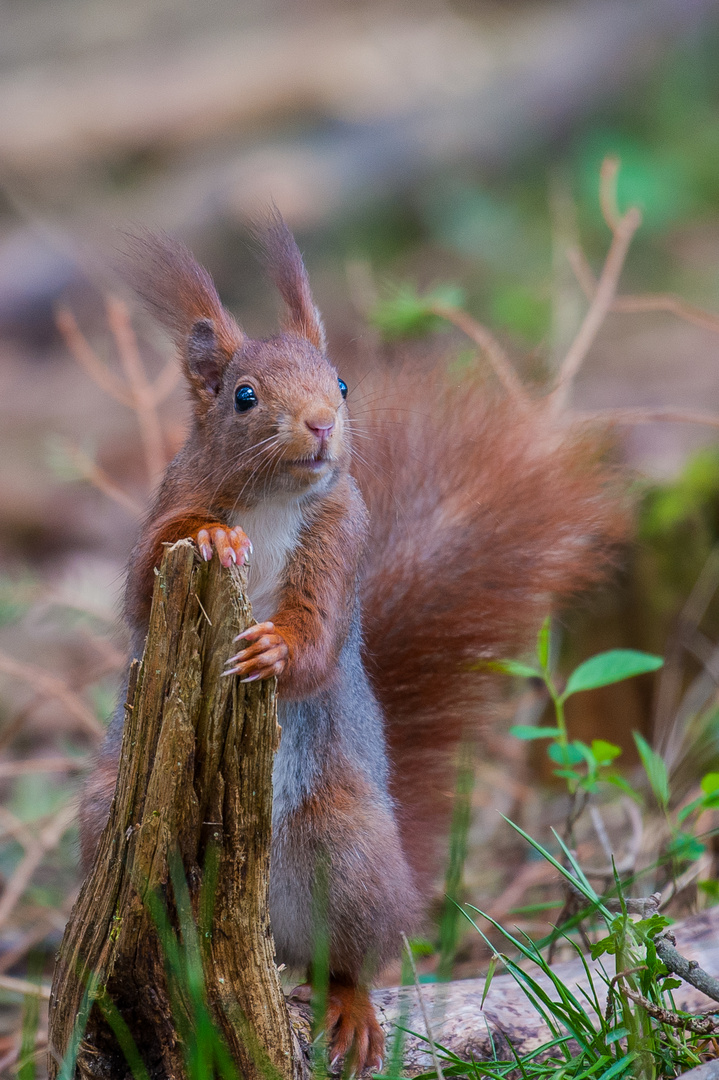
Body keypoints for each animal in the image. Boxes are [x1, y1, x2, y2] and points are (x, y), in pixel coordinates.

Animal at [78, 214, 626, 1075]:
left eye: (340, 385)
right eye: (244, 396)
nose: (322, 426)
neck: (272, 498)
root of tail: (259, 919)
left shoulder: (340, 539)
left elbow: (320, 633)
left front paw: (272, 654)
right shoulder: (165, 515)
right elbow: (145, 582)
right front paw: (212, 539)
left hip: (350, 853)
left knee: (351, 957)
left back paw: (349, 1009)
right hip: (115, 827)